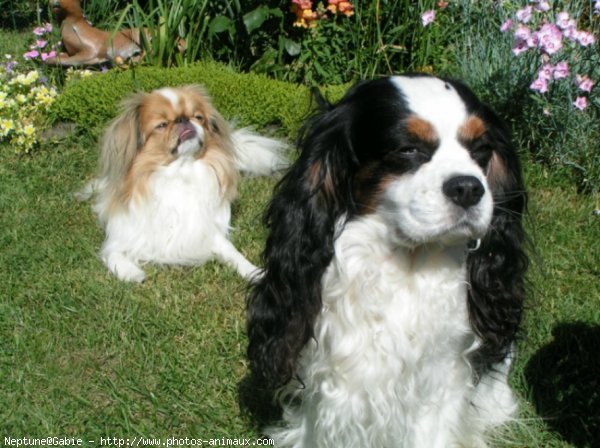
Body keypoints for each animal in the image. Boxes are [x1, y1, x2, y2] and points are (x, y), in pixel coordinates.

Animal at [81, 84, 288, 282]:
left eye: (198, 117)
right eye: (162, 125)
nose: (183, 119)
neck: (181, 171)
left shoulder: (206, 229)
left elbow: (231, 251)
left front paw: (254, 272)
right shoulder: (122, 237)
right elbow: (113, 254)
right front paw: (132, 273)